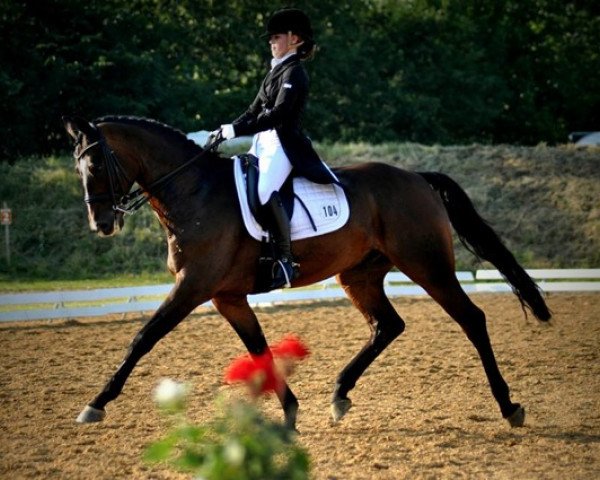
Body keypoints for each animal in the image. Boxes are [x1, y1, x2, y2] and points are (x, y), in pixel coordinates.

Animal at [63, 115, 552, 428]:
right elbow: (259, 349)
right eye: (77, 165)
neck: (194, 191)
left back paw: (509, 406)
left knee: (471, 319)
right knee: (387, 326)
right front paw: (291, 410)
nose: (100, 223)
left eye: (95, 163)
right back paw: (339, 395)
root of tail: (416, 177)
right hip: (359, 275)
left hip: (426, 264)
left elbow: (143, 337)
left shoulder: (193, 287)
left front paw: (95, 404)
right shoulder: (226, 296)